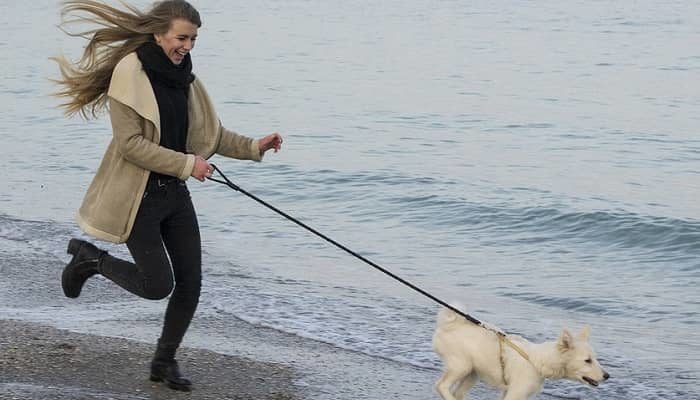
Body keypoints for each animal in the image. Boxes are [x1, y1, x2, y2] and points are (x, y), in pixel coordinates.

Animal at [432, 308, 608, 398]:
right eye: (587, 360)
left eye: (595, 359)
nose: (607, 376)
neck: (538, 361)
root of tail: (450, 325)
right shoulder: (515, 394)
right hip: (462, 366)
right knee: (441, 386)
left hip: (473, 373)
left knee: (457, 392)